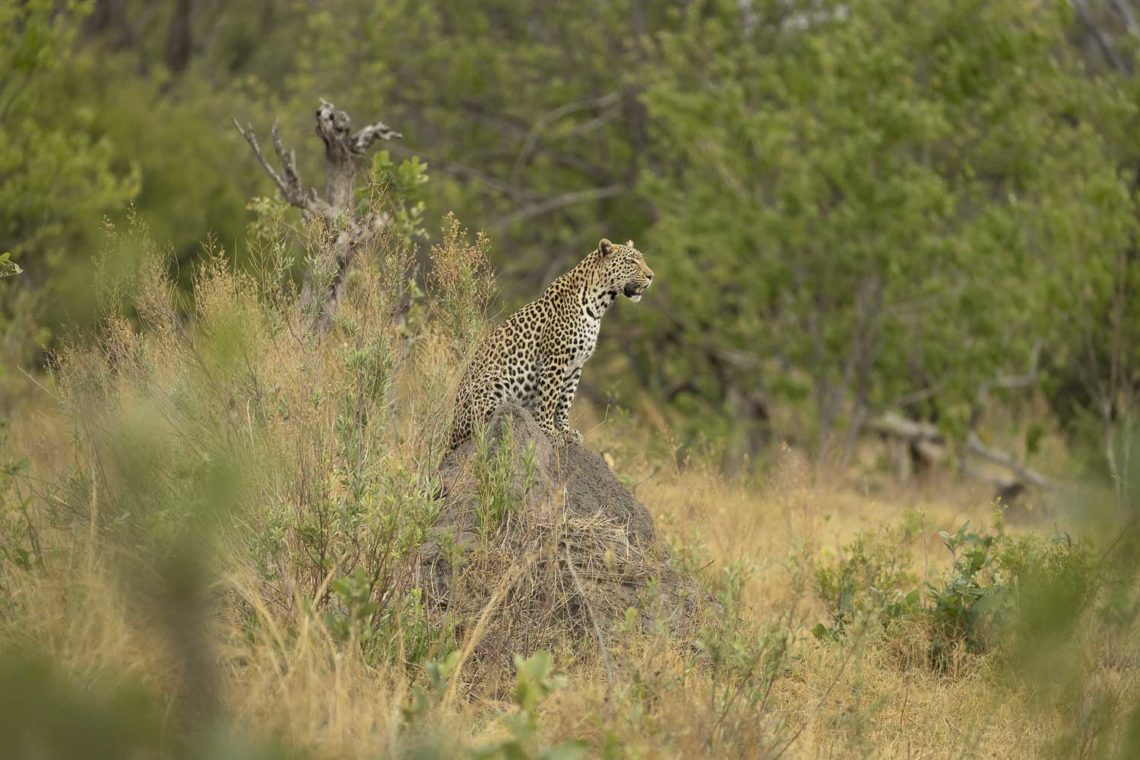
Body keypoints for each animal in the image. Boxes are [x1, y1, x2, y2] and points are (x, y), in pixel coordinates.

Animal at [447, 238, 654, 450]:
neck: (598, 304)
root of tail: (452, 430)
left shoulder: (576, 365)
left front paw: (566, 431)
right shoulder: (555, 360)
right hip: (494, 382)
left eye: (642, 260)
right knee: (477, 429)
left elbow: (565, 401)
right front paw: (548, 432)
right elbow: (549, 398)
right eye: (631, 261)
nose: (651, 276)